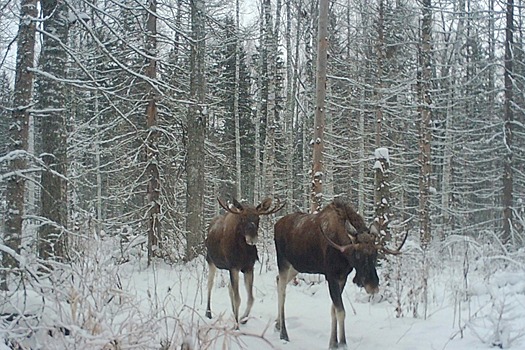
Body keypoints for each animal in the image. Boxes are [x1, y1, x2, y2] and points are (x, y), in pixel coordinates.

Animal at [204, 197, 282, 328]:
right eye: (243, 218)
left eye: (258, 218)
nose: (252, 239)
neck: (243, 250)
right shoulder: (233, 267)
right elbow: (238, 299)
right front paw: (236, 325)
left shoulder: (248, 268)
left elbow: (250, 298)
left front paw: (242, 318)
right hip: (210, 261)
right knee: (210, 284)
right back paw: (208, 312)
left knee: (229, 287)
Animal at [272, 198, 408, 348]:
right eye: (357, 255)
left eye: (375, 255)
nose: (372, 286)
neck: (344, 255)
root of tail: (276, 224)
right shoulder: (331, 276)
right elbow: (341, 311)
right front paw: (342, 343)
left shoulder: (342, 277)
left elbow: (334, 310)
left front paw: (333, 342)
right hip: (283, 261)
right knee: (282, 290)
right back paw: (283, 333)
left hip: (296, 266)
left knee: (278, 280)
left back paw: (277, 323)